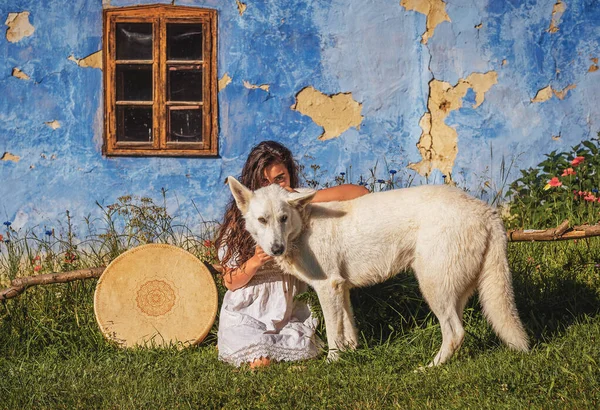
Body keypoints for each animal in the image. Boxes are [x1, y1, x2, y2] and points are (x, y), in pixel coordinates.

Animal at [227, 178, 528, 366]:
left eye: (283, 218)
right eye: (263, 220)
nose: (276, 248)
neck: (303, 227)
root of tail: (486, 210)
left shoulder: (328, 287)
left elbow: (334, 333)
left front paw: (332, 362)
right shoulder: (342, 289)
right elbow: (349, 328)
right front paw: (352, 353)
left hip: (433, 288)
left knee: (455, 332)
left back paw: (429, 368)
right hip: (455, 291)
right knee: (458, 331)